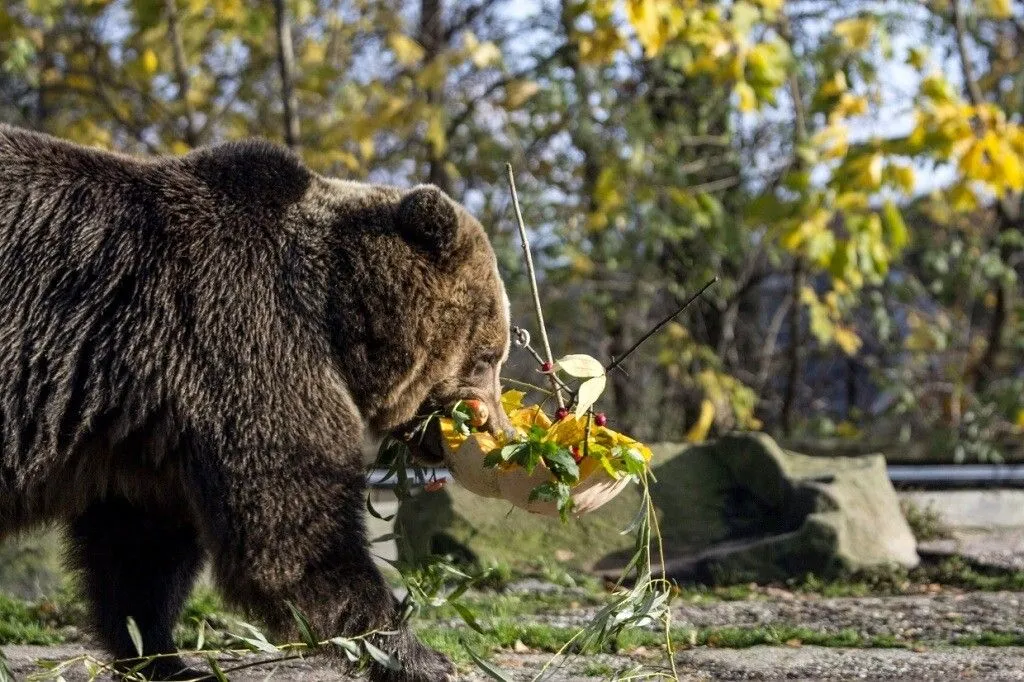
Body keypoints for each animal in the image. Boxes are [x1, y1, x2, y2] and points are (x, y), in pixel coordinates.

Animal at [0, 124, 512, 675]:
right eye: (487, 358)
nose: (499, 429)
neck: (336, 314)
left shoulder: (146, 425)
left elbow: (139, 548)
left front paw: (164, 657)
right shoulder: (241, 340)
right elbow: (293, 522)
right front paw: (412, 651)